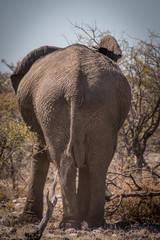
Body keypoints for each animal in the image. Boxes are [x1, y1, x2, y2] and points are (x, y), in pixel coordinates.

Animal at [10, 35, 131, 229]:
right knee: (96, 160)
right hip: (80, 105)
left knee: (74, 159)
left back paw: (74, 224)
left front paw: (25, 221)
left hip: (60, 106)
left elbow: (40, 153)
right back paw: (89, 223)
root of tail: (75, 87)